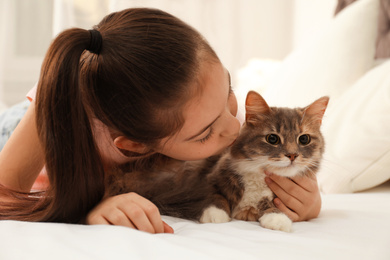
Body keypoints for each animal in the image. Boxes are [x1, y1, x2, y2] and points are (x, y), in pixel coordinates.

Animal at [105, 90, 328, 233]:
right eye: (272, 139)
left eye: (304, 139)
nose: (292, 155)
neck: (258, 174)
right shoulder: (207, 177)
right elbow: (214, 196)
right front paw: (215, 215)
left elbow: (274, 206)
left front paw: (278, 219)